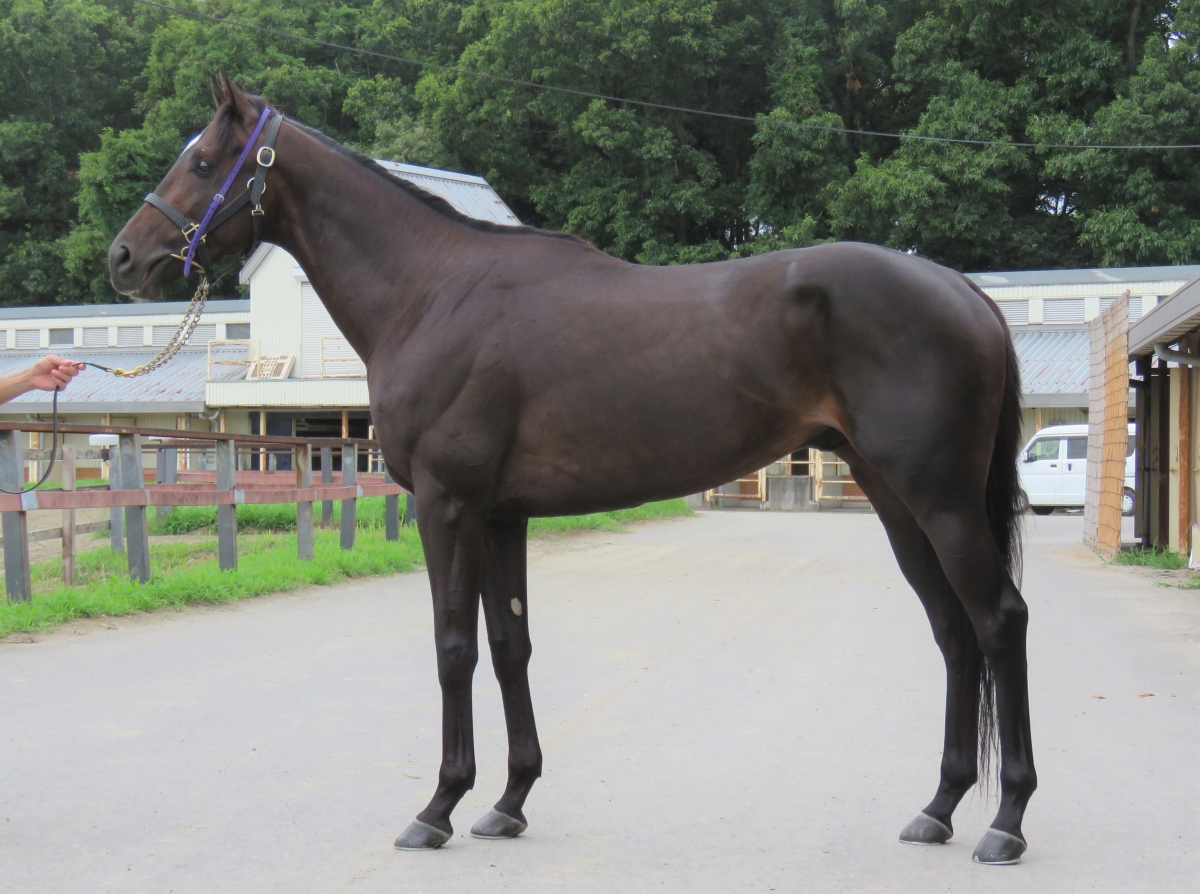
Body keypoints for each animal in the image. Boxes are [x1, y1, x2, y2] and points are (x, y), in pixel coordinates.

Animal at [108, 71, 1036, 865]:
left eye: (201, 161)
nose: (124, 257)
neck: (432, 292)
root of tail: (964, 291)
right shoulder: (499, 514)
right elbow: (510, 644)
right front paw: (508, 802)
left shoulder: (447, 505)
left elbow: (453, 647)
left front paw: (437, 808)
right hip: (896, 500)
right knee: (953, 632)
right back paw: (939, 808)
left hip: (941, 501)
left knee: (998, 621)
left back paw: (1005, 821)